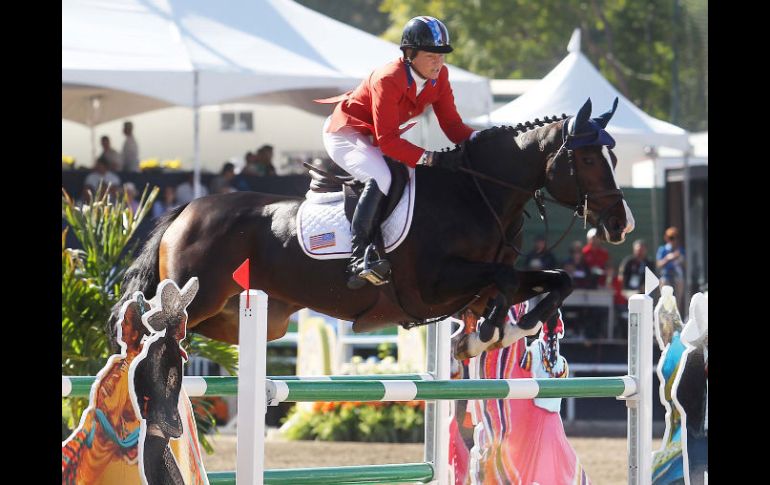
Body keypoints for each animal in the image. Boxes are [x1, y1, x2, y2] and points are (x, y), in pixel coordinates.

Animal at [111, 96, 632, 358]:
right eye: (589, 159)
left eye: (614, 157)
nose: (620, 223)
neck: (476, 193)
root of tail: (188, 210)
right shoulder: (436, 284)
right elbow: (503, 282)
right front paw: (486, 332)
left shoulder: (474, 282)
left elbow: (555, 281)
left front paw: (512, 327)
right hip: (194, 295)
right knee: (145, 321)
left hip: (240, 317)